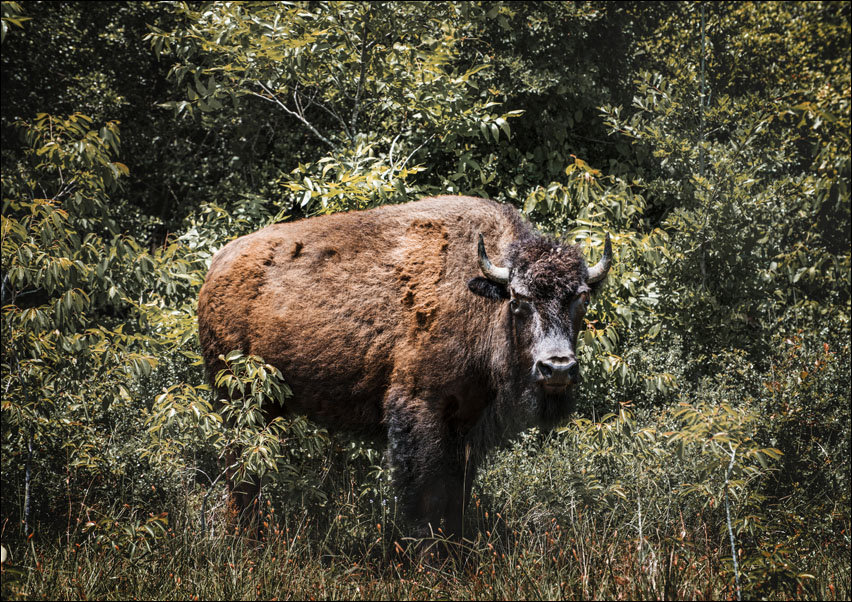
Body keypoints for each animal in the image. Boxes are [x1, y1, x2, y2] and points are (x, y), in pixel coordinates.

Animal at [197, 195, 612, 539]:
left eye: (581, 297)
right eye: (518, 299)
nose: (557, 368)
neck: (479, 298)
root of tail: (217, 267)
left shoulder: (466, 423)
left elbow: (458, 495)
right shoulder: (419, 410)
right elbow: (426, 496)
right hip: (238, 399)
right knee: (241, 472)